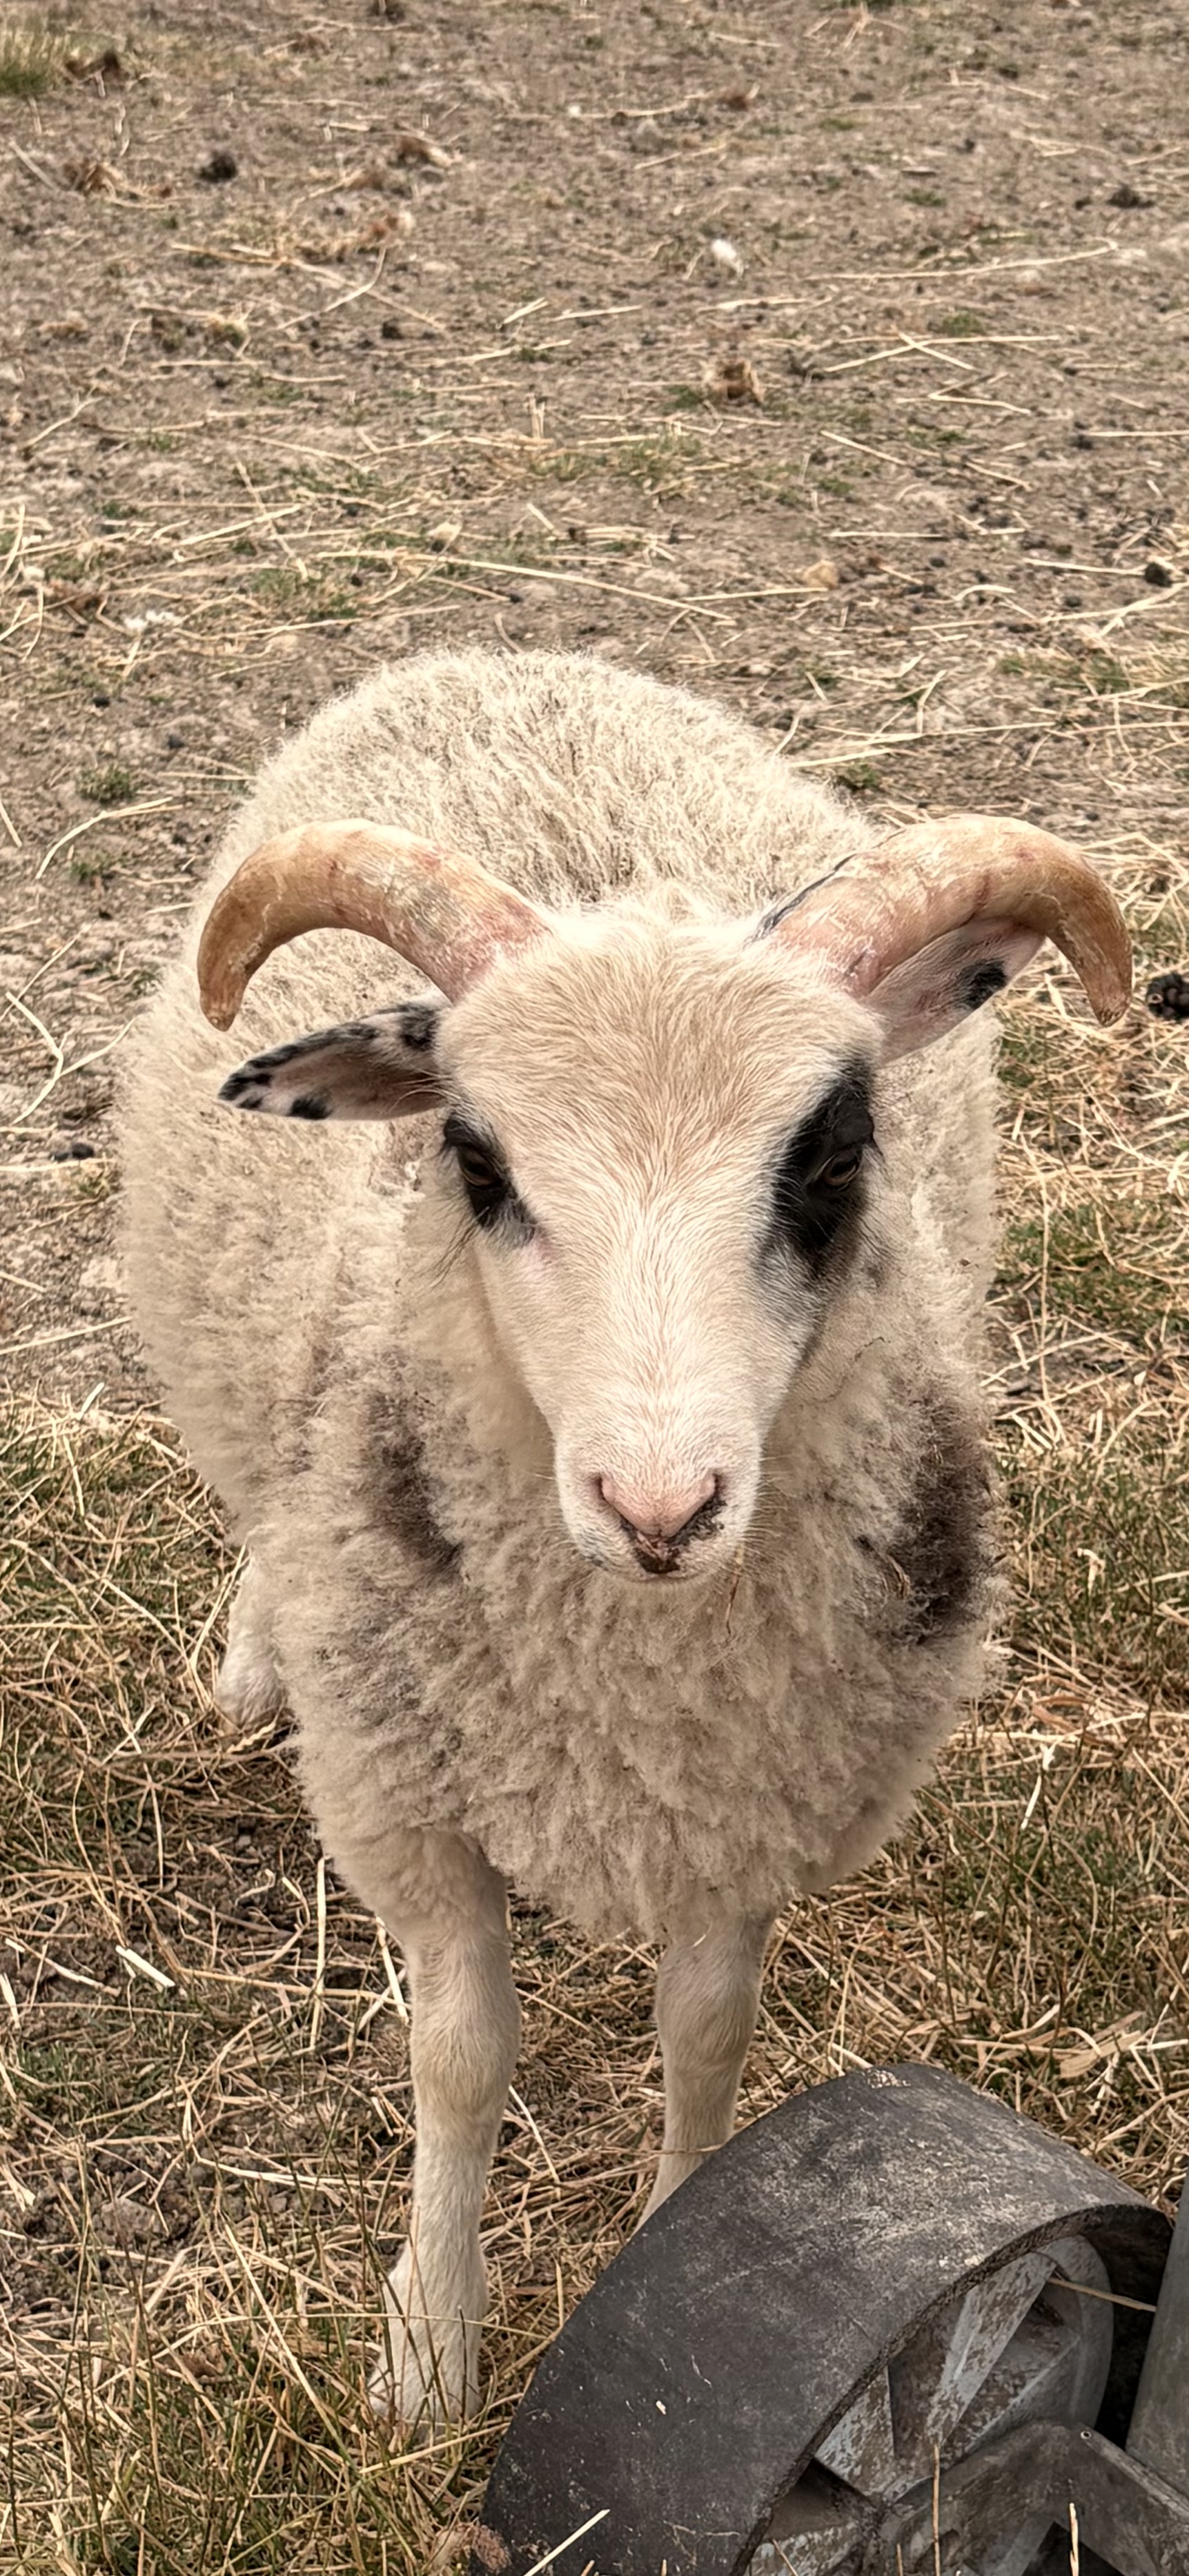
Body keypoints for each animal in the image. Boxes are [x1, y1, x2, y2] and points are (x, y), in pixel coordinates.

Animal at [118, 647, 1130, 2431]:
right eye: (472, 1156)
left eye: (832, 1150)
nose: (662, 1508)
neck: (632, 1701)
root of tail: (509, 654)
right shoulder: (404, 1803)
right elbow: (461, 2063)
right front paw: (429, 2350)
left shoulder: (752, 1809)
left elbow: (707, 2035)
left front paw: (674, 2249)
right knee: (254, 1491)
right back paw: (247, 1656)